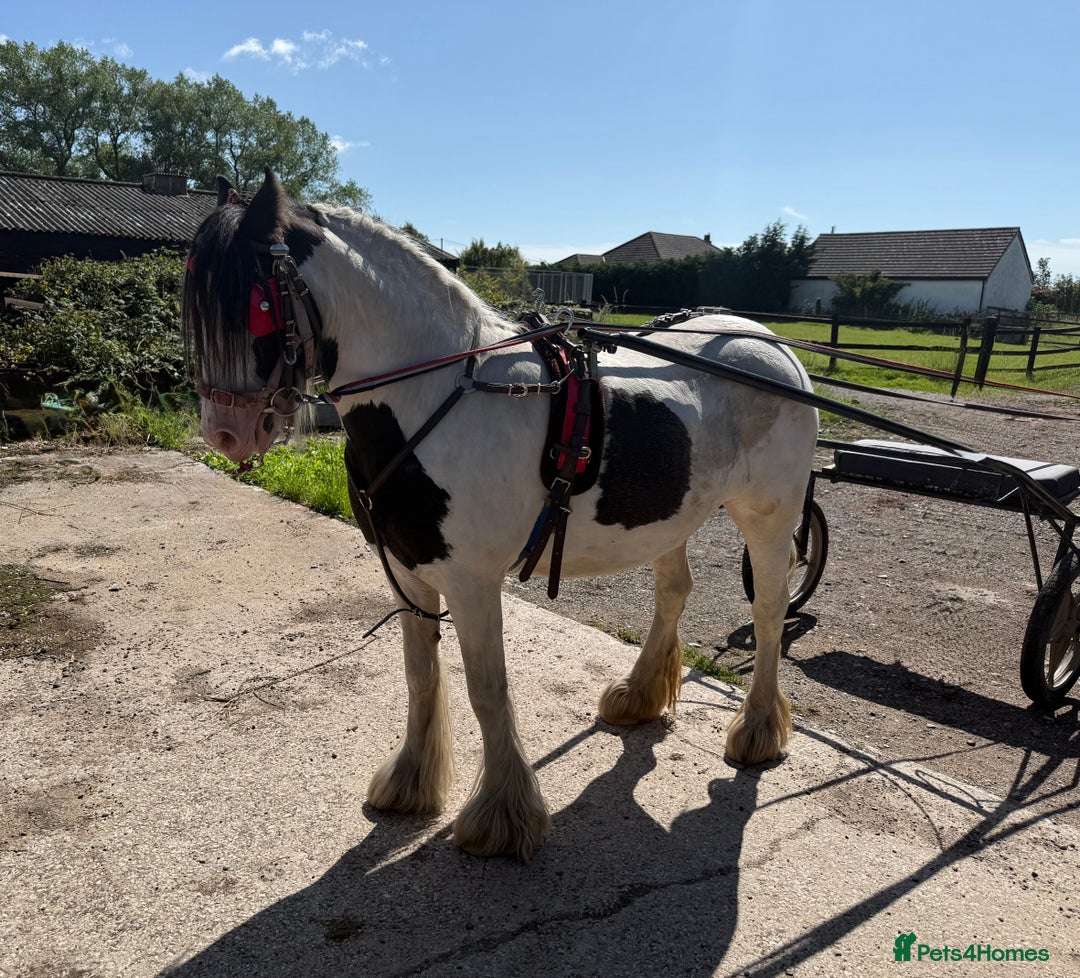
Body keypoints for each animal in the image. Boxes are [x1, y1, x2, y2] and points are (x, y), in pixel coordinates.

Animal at [182, 170, 818, 861]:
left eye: (256, 303)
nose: (225, 434)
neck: (435, 394)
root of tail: (772, 346)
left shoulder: (471, 584)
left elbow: (487, 691)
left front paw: (501, 817)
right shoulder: (409, 573)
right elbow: (420, 677)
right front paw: (410, 782)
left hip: (768, 516)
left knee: (768, 610)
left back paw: (758, 729)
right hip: (671, 518)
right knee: (675, 591)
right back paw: (640, 695)